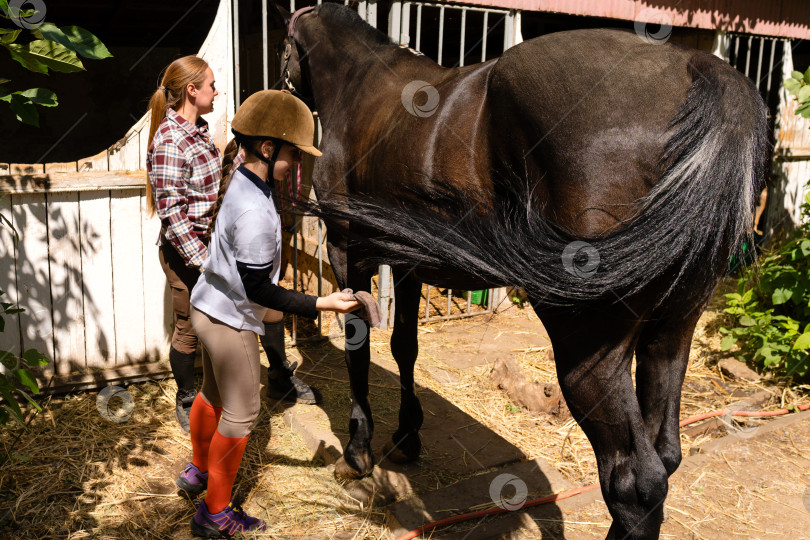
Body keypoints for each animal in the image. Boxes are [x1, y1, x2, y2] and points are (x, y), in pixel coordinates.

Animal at [270, 3, 764, 536]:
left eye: (283, 46)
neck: (362, 84)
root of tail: (696, 67)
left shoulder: (347, 250)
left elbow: (358, 348)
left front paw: (358, 452)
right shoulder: (406, 260)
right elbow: (405, 347)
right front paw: (406, 437)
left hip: (588, 347)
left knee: (635, 480)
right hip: (673, 330)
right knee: (665, 453)